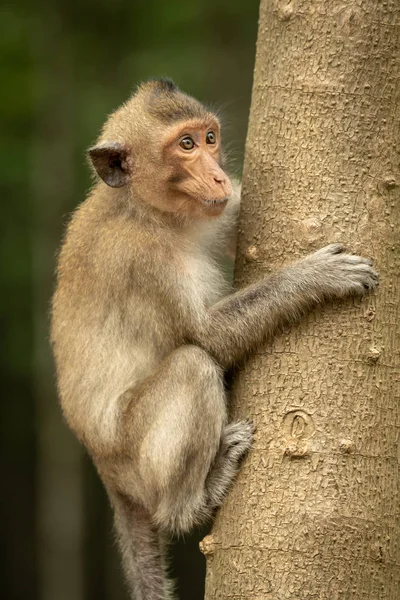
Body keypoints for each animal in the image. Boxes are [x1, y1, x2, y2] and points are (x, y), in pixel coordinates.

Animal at [50, 79, 378, 600]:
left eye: (208, 138)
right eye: (185, 145)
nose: (219, 177)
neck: (146, 209)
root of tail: (106, 472)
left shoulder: (215, 213)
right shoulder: (143, 262)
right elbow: (210, 337)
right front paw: (313, 276)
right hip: (136, 461)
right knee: (192, 364)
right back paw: (192, 503)